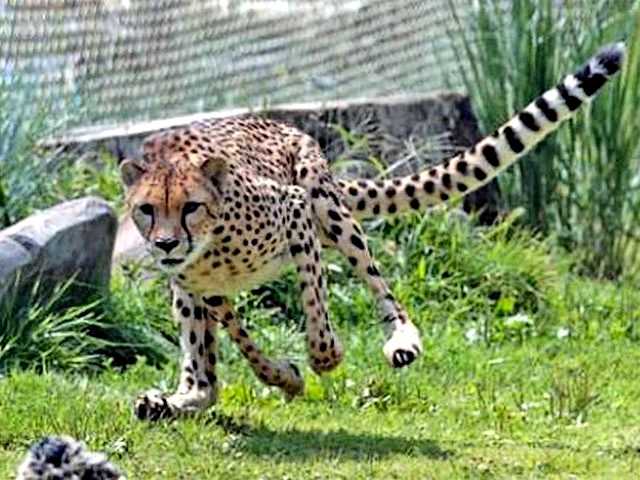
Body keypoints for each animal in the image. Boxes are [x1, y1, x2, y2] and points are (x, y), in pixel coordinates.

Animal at [119, 44, 624, 420]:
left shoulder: (295, 211)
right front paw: (284, 375)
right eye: (146, 210)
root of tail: (278, 122)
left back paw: (402, 339)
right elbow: (240, 339)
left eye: (191, 207)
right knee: (205, 377)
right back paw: (176, 401)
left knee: (383, 289)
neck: (211, 244)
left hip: (327, 207)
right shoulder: (201, 286)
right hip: (194, 289)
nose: (166, 243)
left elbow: (315, 304)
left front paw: (324, 357)